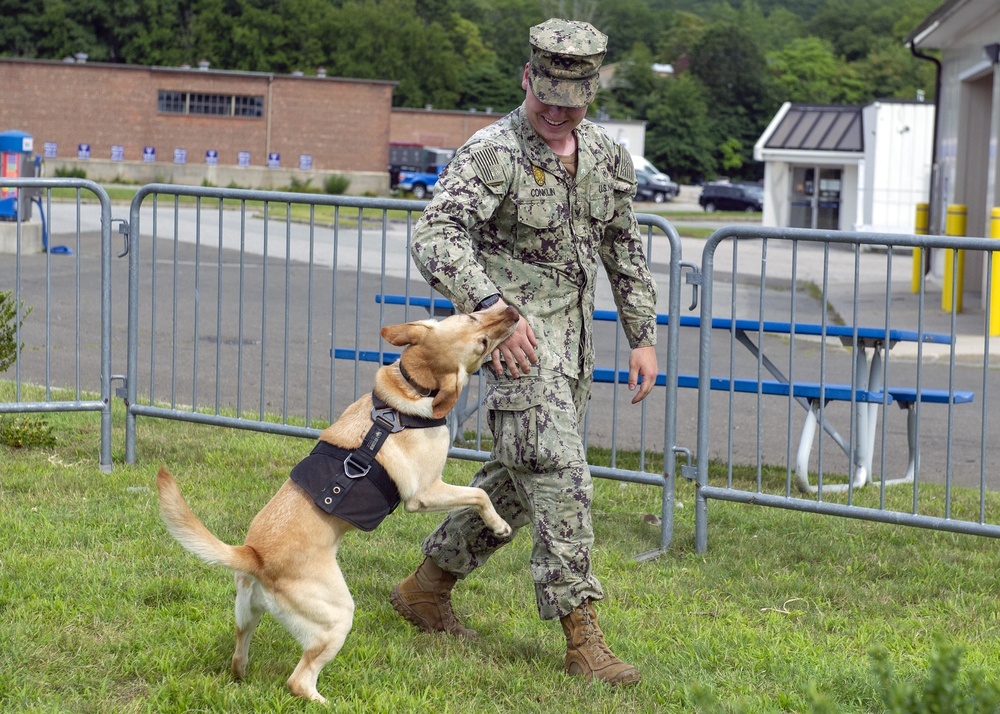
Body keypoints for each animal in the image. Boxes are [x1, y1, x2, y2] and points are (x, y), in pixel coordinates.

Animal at [156, 304, 520, 700]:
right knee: (299, 680)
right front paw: (499, 525)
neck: (411, 389)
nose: (512, 311)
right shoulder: (425, 493)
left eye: (471, 316)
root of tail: (253, 555)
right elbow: (480, 494)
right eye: (479, 337)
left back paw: (244, 673)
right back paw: (325, 700)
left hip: (247, 615)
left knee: (240, 656)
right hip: (337, 616)